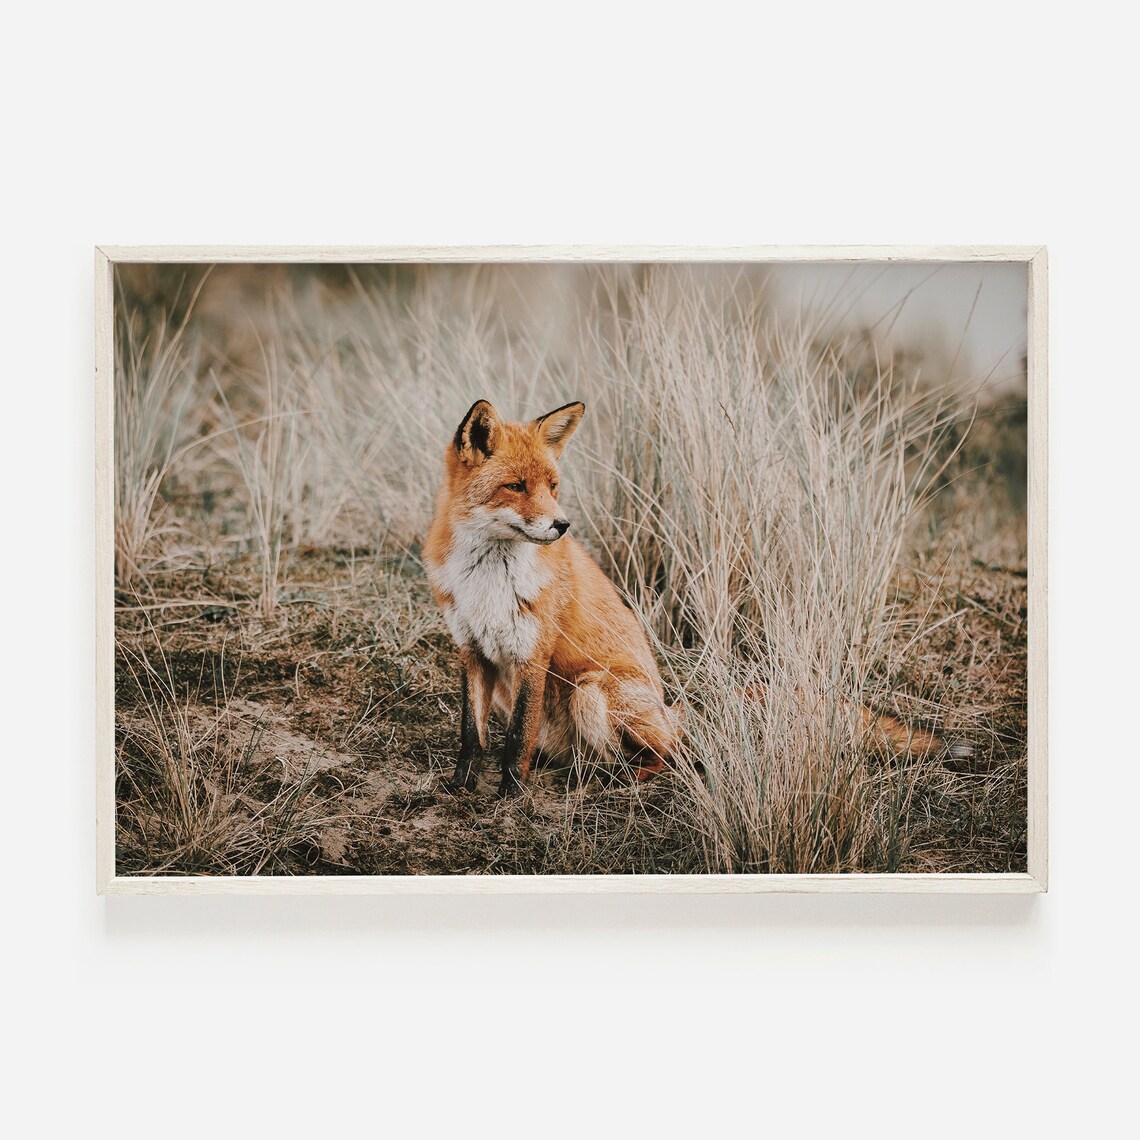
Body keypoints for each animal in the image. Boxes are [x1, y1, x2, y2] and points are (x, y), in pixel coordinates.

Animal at [425, 398, 964, 799]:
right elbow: (472, 735)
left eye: (553, 486)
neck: (488, 579)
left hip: (593, 690)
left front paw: (511, 796)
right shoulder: (471, 650)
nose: (562, 525)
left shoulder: (531, 654)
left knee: (675, 756)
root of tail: (671, 709)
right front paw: (459, 787)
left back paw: (626, 780)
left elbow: (517, 738)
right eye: (515, 486)